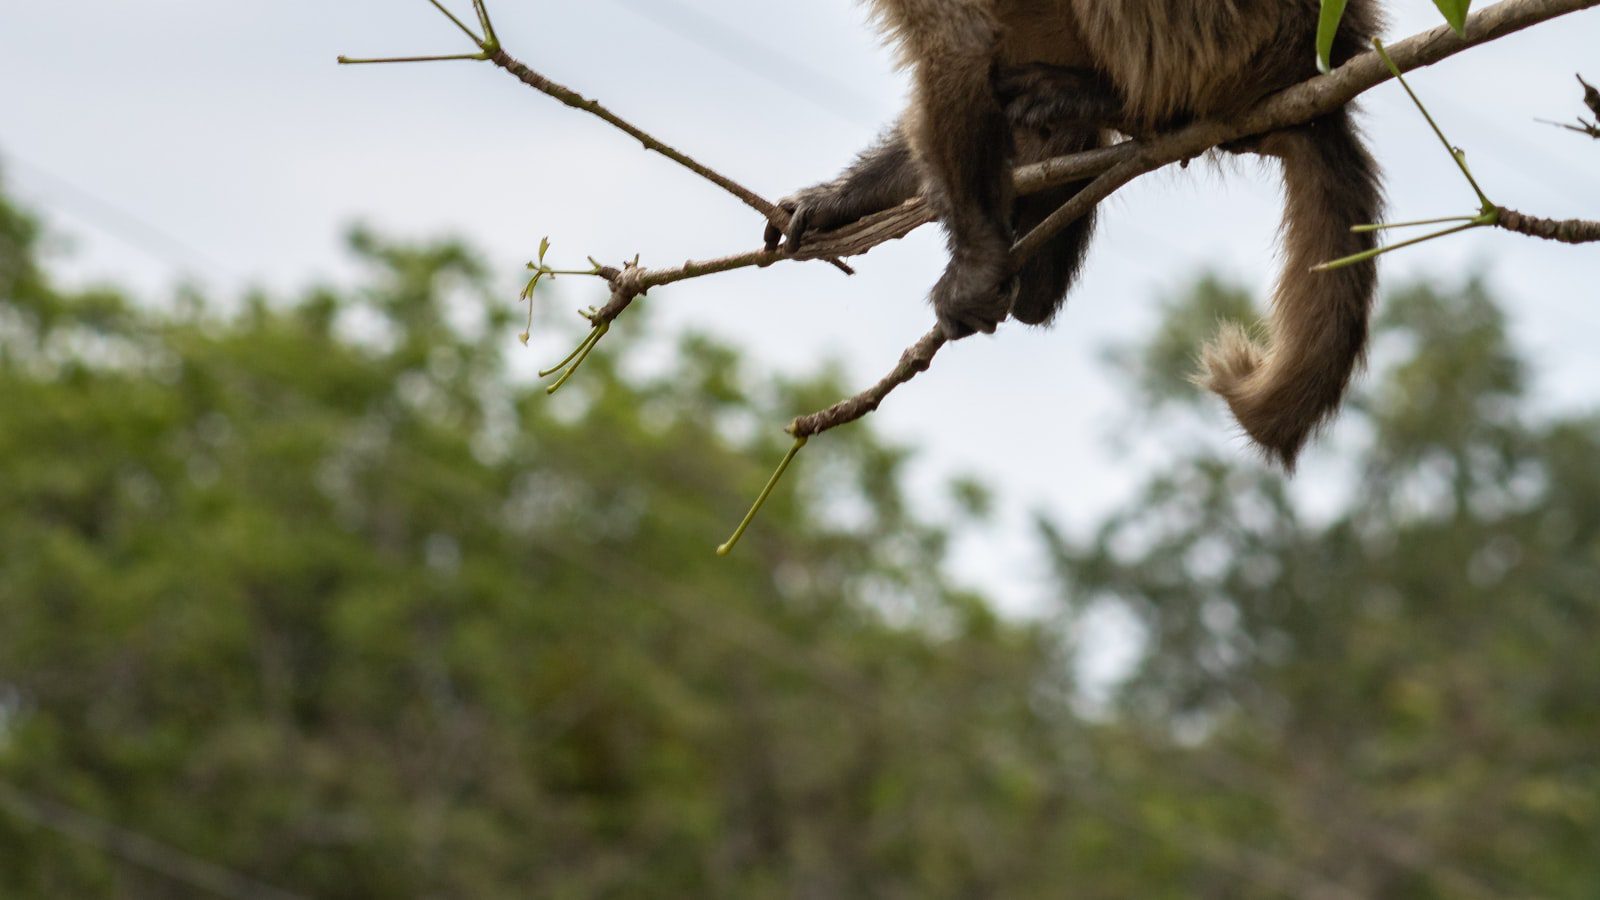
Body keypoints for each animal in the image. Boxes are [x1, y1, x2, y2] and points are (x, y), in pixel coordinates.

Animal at [758, 0, 1376, 464]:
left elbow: (958, 45)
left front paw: (975, 268)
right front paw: (837, 202)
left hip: (1249, 37)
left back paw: (1121, 106)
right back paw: (1040, 263)